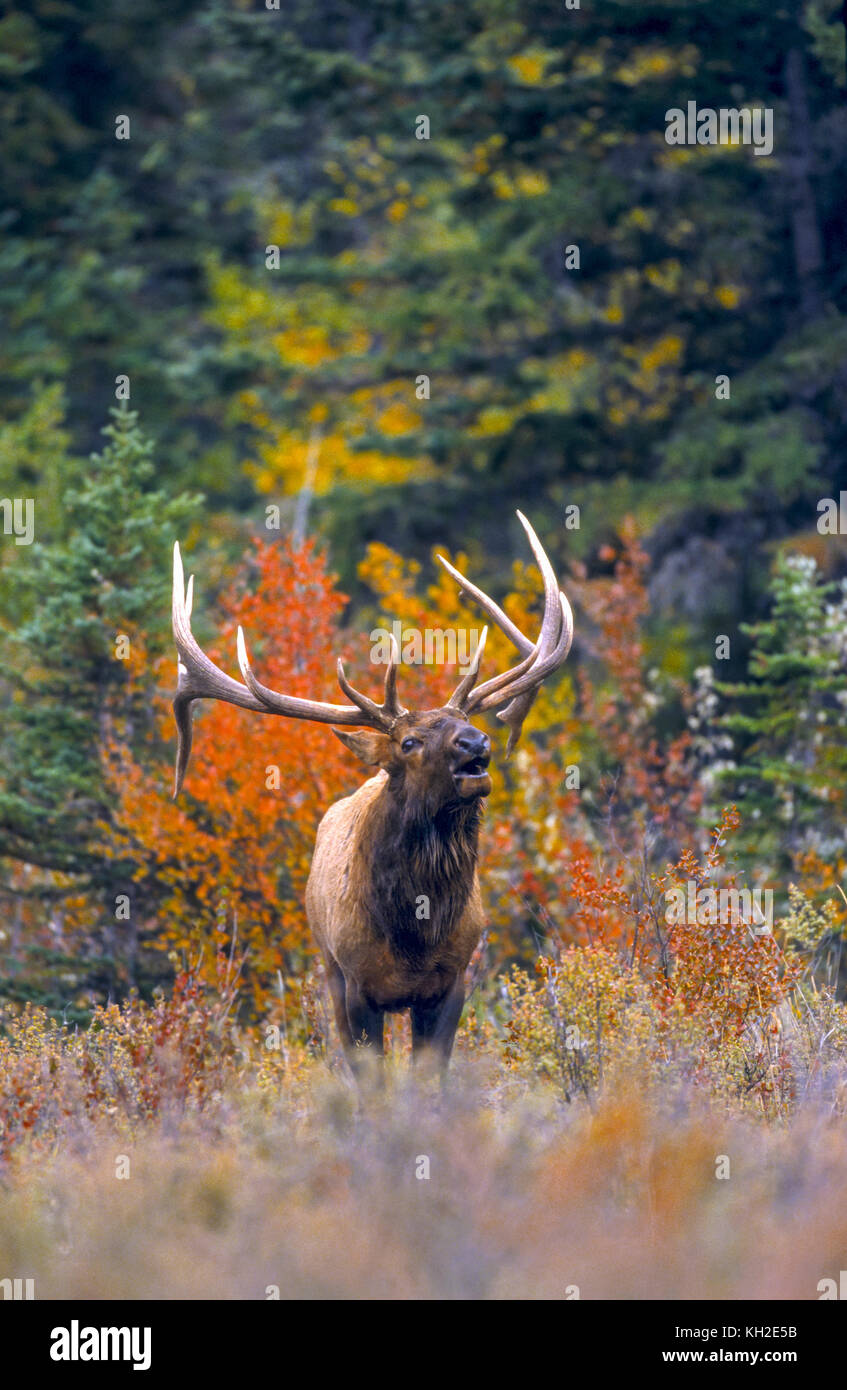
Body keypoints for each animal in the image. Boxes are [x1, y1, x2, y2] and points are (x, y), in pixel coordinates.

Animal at [171, 513, 573, 1078]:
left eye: (465, 721)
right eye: (408, 742)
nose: (477, 743)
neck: (415, 936)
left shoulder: (453, 981)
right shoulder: (356, 984)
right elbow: (372, 1079)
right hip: (327, 966)